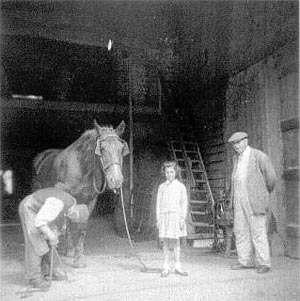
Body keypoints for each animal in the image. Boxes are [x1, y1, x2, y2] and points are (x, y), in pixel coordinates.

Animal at [32, 119, 129, 264]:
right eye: (102, 148)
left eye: (121, 149)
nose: (116, 180)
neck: (82, 168)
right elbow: (65, 221)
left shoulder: (90, 200)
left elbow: (82, 227)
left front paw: (78, 258)